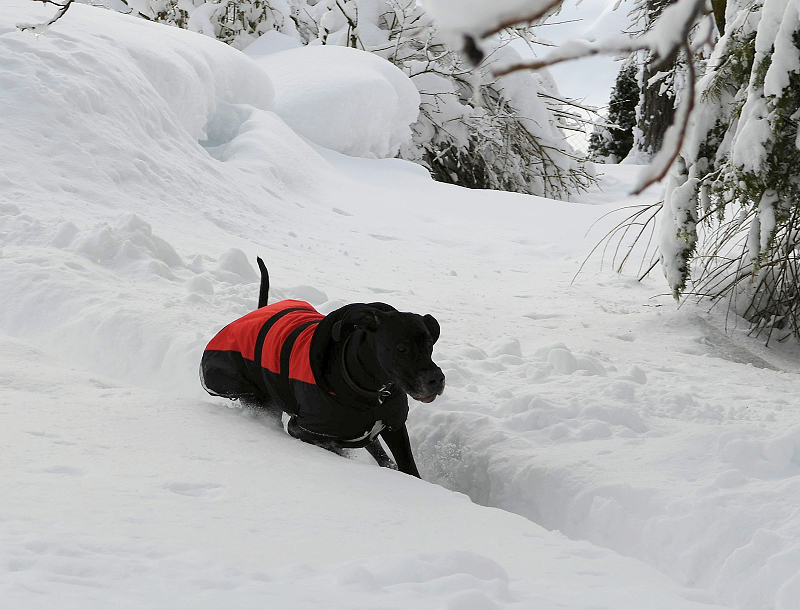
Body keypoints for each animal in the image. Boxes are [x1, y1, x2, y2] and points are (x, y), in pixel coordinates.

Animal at [200, 258, 445, 477]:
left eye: (429, 344)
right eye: (401, 348)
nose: (437, 379)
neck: (371, 390)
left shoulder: (394, 427)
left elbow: (408, 468)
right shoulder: (303, 428)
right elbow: (331, 445)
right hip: (255, 398)